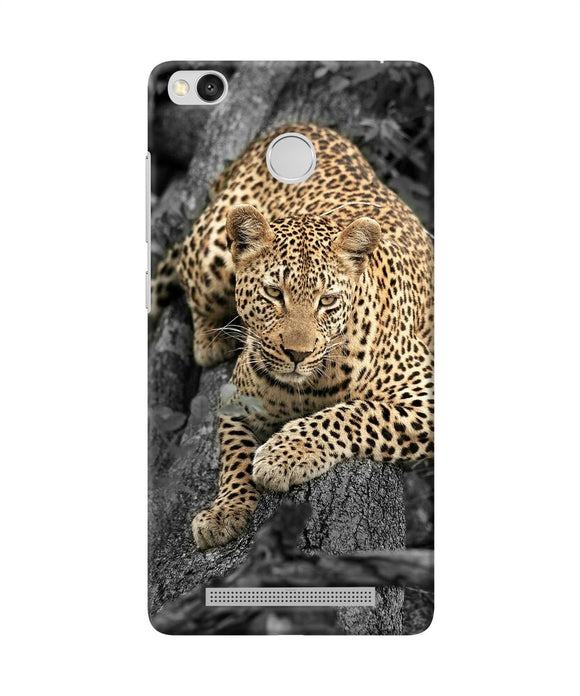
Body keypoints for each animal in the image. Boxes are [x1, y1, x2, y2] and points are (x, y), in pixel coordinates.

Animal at [153, 123, 434, 550]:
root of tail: (295, 126)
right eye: (273, 293)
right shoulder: (235, 400)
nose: (297, 354)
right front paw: (225, 510)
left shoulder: (425, 396)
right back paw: (211, 340)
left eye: (327, 300)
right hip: (211, 253)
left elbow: (354, 413)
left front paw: (283, 455)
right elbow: (234, 455)